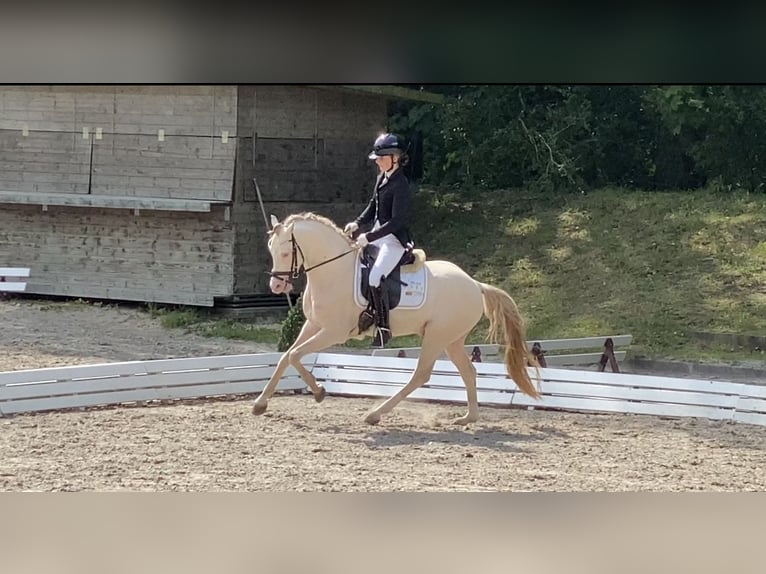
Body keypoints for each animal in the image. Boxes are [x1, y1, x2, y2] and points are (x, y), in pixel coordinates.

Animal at [251, 211, 541, 425]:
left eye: (286, 253)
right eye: (270, 249)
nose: (276, 286)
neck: (333, 270)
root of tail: (475, 284)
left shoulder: (334, 331)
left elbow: (294, 355)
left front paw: (320, 392)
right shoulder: (313, 325)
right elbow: (286, 356)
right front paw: (260, 404)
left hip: (436, 337)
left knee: (421, 374)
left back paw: (375, 414)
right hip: (451, 340)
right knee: (468, 371)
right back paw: (468, 417)